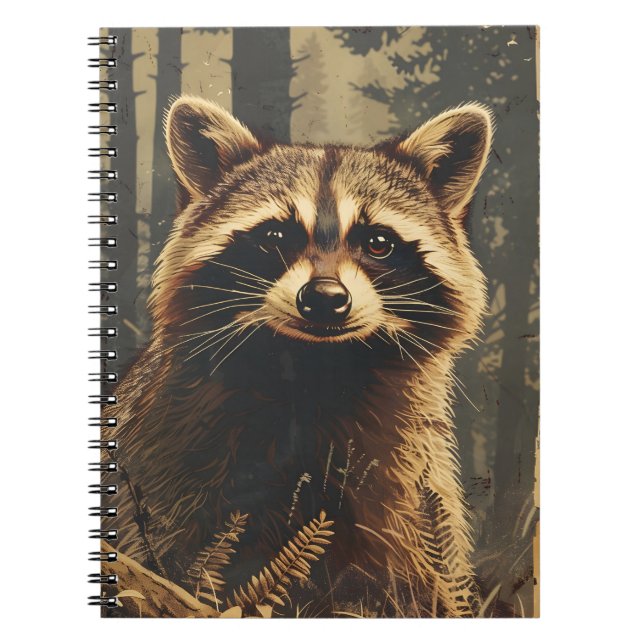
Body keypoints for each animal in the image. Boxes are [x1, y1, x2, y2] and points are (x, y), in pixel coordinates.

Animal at [105, 96, 493, 617]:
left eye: (378, 242)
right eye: (275, 236)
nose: (325, 298)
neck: (317, 368)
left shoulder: (407, 473)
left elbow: (414, 575)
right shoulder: (172, 447)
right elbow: (161, 543)